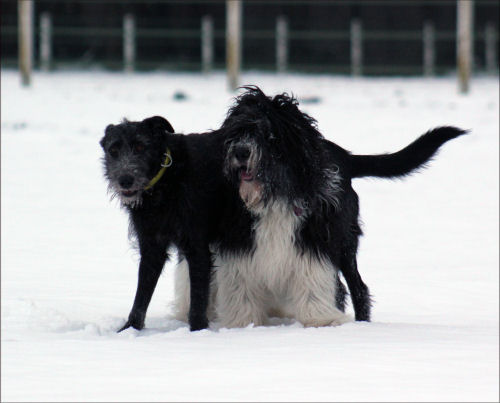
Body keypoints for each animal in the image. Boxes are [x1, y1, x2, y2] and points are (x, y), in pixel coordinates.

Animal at [174, 87, 466, 330]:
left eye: (269, 134)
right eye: (236, 132)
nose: (241, 152)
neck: (275, 194)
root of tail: (345, 156)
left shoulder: (314, 237)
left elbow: (312, 278)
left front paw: (320, 320)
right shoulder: (239, 240)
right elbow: (240, 284)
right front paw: (244, 322)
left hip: (345, 241)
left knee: (358, 288)